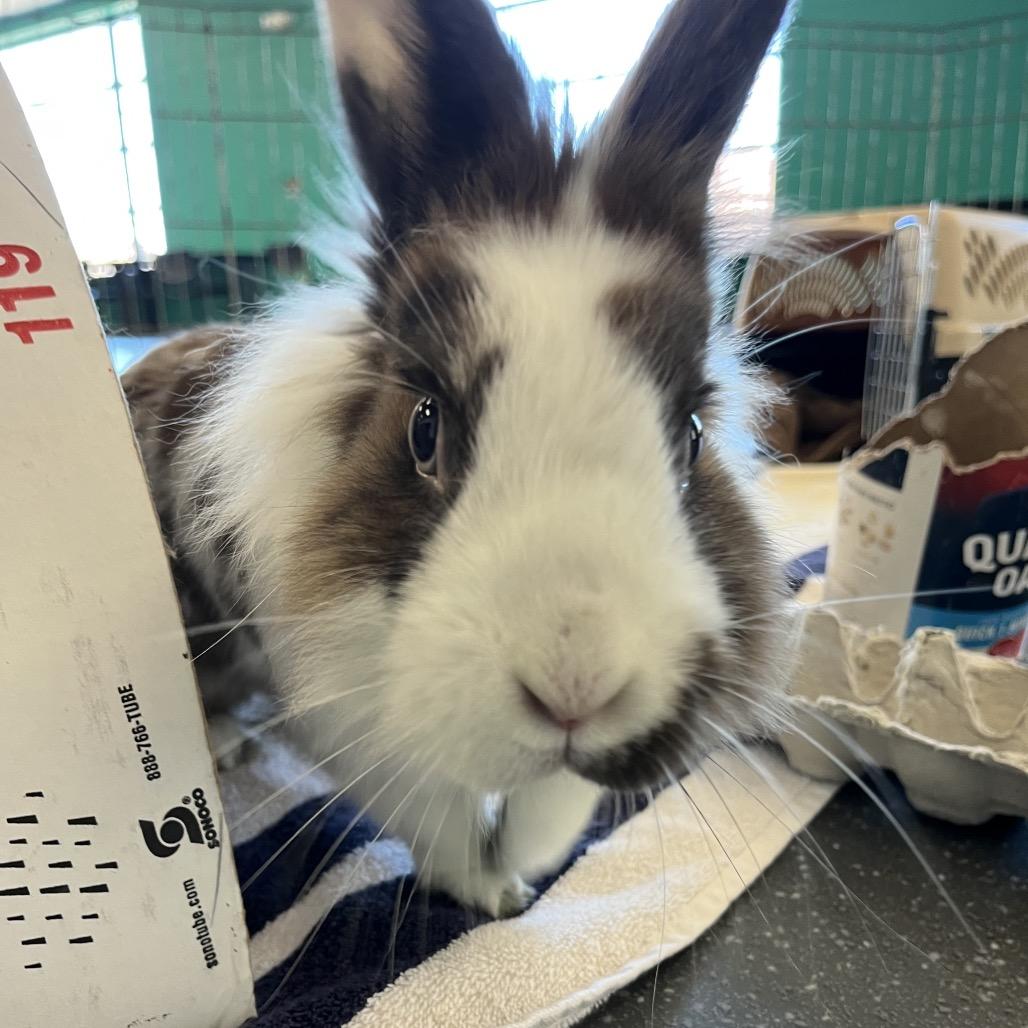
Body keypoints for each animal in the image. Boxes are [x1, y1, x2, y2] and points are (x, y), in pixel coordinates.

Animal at [121, 0, 791, 917]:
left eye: (689, 432)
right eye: (425, 428)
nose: (574, 689)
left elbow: (555, 800)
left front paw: (524, 864)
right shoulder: (345, 702)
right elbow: (430, 809)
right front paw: (491, 895)